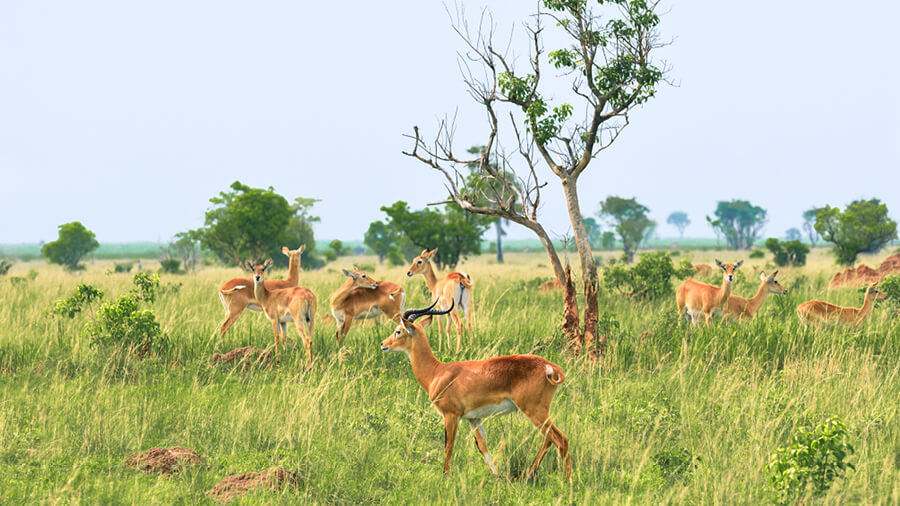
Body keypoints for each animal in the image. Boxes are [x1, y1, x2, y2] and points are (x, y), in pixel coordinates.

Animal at [380, 300, 572, 482]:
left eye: (398, 331)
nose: (383, 344)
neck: (437, 372)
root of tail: (551, 368)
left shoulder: (451, 415)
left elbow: (449, 445)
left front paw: (445, 476)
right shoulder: (473, 418)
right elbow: (482, 445)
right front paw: (497, 475)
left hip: (533, 410)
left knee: (560, 439)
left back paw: (567, 481)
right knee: (549, 439)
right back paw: (530, 474)